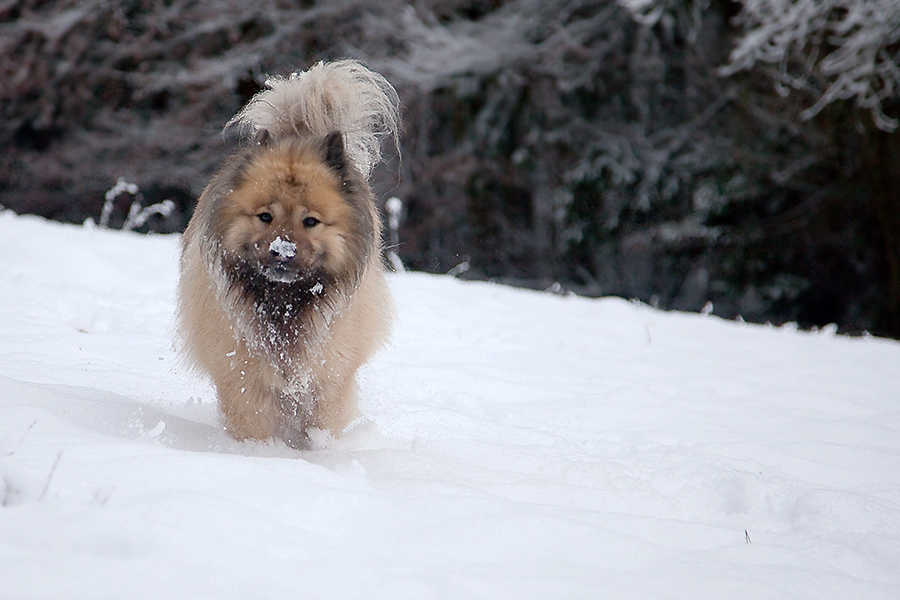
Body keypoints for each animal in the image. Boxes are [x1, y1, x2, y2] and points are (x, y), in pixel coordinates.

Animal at [175, 58, 398, 448]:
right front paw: (259, 454)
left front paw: (318, 452)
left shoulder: (327, 376)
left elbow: (321, 420)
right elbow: (251, 421)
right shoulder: (244, 375)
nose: (282, 251)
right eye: (265, 216)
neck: (285, 303)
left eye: (311, 221)